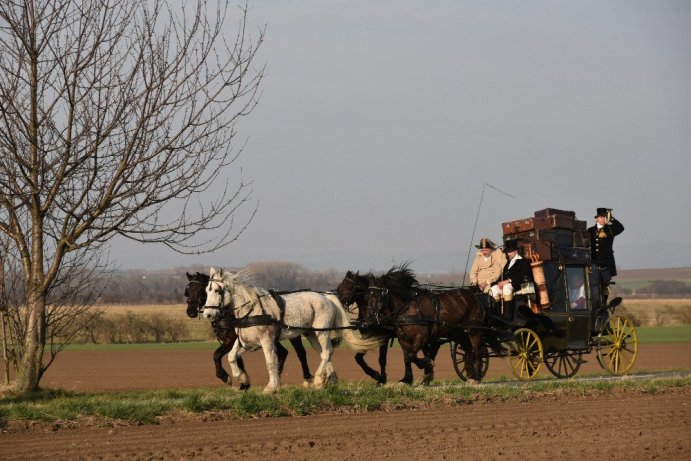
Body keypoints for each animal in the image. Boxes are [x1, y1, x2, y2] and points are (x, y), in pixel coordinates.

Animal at [184, 272, 314, 386]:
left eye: (199, 290)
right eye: (188, 291)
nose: (190, 312)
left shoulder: (231, 339)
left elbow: (216, 355)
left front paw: (225, 377)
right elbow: (236, 359)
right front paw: (244, 382)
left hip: (294, 334)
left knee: (300, 352)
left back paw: (306, 378)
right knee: (283, 352)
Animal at [203, 266, 382, 392]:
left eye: (217, 290)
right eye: (206, 290)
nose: (208, 314)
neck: (251, 309)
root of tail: (325, 296)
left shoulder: (266, 341)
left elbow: (270, 361)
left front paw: (272, 387)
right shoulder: (246, 341)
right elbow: (231, 357)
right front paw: (241, 378)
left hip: (322, 332)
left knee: (328, 351)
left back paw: (318, 379)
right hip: (311, 334)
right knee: (323, 353)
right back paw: (329, 378)